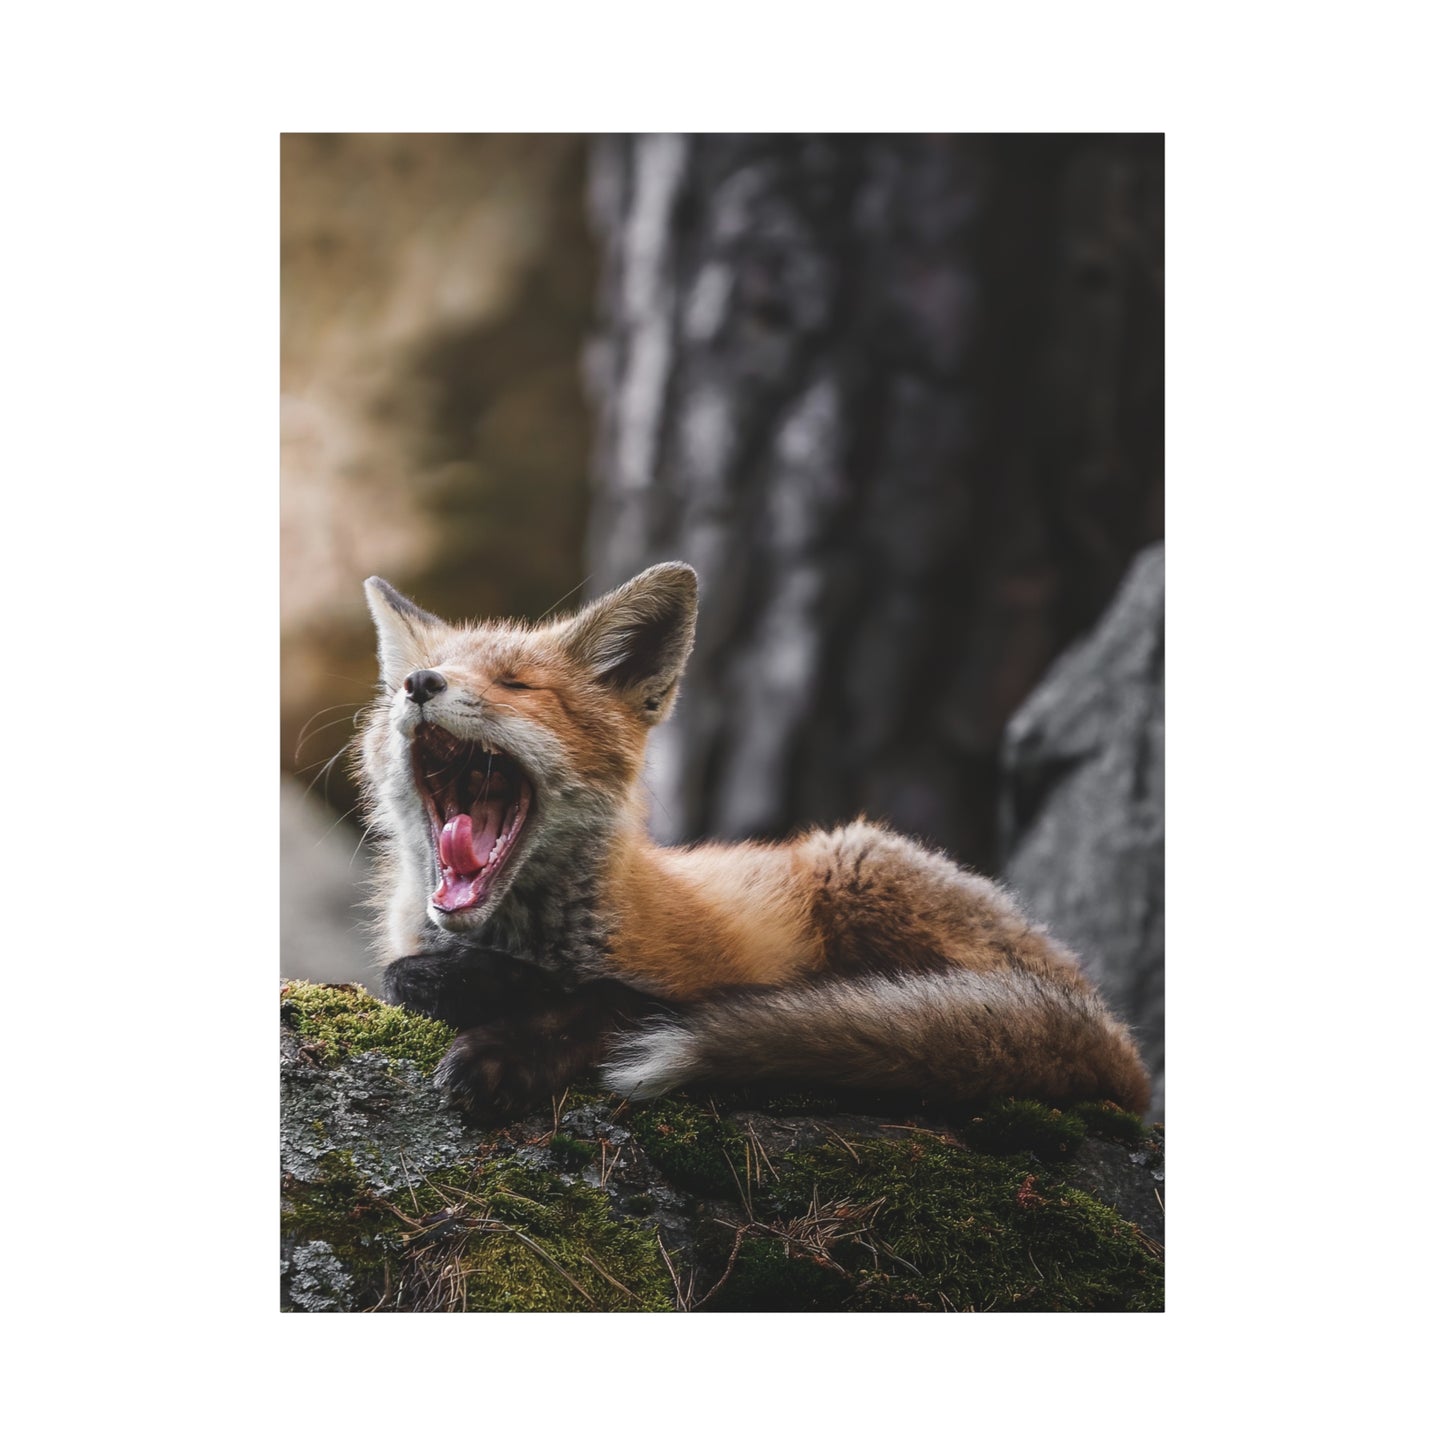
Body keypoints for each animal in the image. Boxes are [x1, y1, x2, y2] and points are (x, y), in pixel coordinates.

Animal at [354, 562, 1151, 1121]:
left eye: (516, 684)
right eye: (403, 687)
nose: (420, 684)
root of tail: (1116, 1034)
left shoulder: (689, 978)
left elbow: (610, 1000)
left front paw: (503, 1046)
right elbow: (401, 976)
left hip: (855, 864)